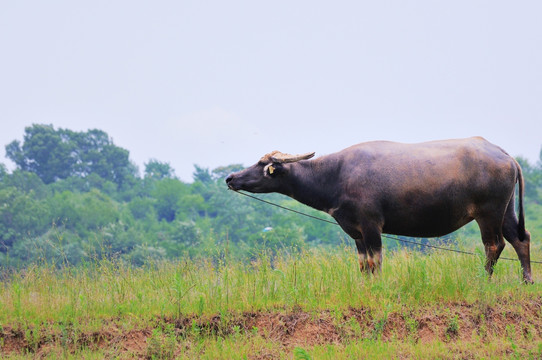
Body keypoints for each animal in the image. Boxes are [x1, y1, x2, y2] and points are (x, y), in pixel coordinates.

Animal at [227, 136, 532, 282]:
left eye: (261, 165)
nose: (230, 178)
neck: (336, 175)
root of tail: (505, 156)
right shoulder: (356, 232)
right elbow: (363, 263)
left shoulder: (372, 225)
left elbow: (376, 260)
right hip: (506, 211)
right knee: (521, 240)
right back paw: (526, 281)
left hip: (488, 213)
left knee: (494, 245)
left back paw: (484, 280)